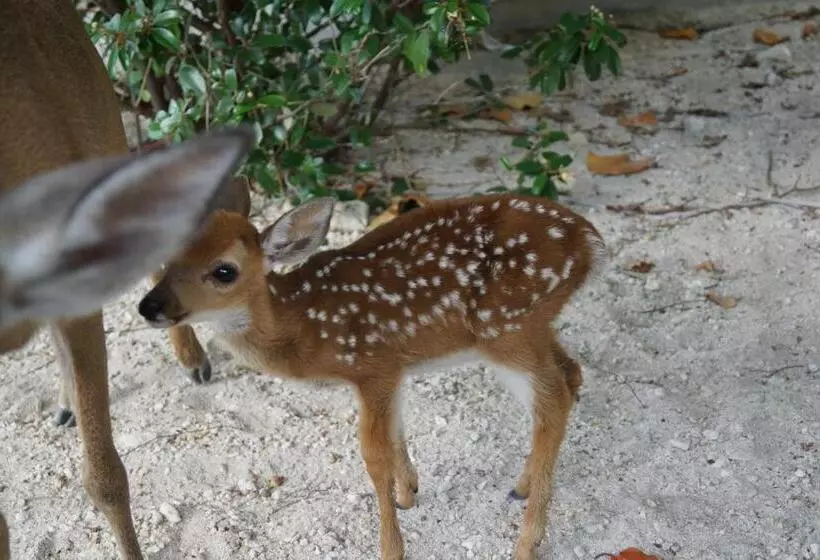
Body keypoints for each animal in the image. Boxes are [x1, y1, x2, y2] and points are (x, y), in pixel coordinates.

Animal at [137, 192, 608, 559]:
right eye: (167, 255)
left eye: (224, 271)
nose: (149, 306)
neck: (303, 326)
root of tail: (590, 241)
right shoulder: (393, 370)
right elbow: (397, 433)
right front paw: (409, 493)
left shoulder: (372, 365)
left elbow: (373, 456)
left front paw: (391, 547)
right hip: (532, 327)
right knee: (571, 373)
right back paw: (523, 487)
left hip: (507, 329)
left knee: (553, 399)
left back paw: (527, 542)